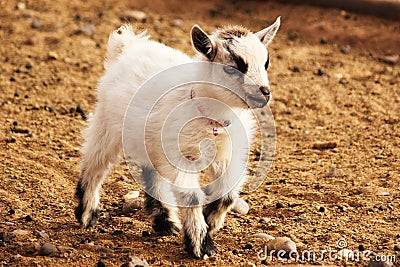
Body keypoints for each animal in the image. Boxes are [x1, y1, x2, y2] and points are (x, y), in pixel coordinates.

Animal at [76, 17, 282, 260]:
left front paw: (211, 222)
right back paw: (87, 214)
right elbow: (191, 196)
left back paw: (165, 221)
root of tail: (128, 46)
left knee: (151, 172)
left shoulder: (228, 154)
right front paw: (201, 244)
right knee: (95, 162)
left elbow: (228, 194)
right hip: (108, 124)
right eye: (233, 67)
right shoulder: (182, 155)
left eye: (266, 63)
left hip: (152, 142)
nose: (264, 93)